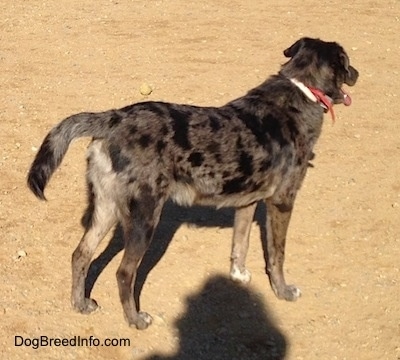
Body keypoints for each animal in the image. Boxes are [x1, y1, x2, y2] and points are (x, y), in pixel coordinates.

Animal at [28, 36, 360, 330]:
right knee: (124, 272)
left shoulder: (248, 202)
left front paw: (238, 276)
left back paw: (80, 304)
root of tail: (115, 118)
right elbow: (277, 256)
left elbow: (240, 244)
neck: (301, 88)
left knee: (80, 254)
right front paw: (282, 291)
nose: (358, 73)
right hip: (145, 218)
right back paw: (135, 320)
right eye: (346, 61)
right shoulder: (282, 202)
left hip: (106, 209)